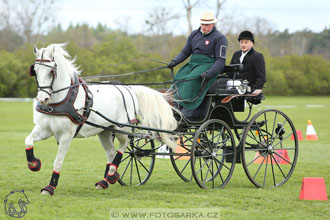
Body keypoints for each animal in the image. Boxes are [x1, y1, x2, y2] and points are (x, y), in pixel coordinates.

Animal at [25, 43, 178, 195]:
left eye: (51, 72)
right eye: (35, 71)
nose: (42, 99)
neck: (62, 99)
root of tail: (129, 89)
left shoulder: (66, 135)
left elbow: (58, 161)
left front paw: (50, 187)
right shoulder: (45, 130)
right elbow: (28, 140)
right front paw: (34, 164)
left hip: (122, 128)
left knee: (124, 146)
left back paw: (111, 173)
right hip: (104, 131)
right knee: (111, 152)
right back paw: (107, 179)